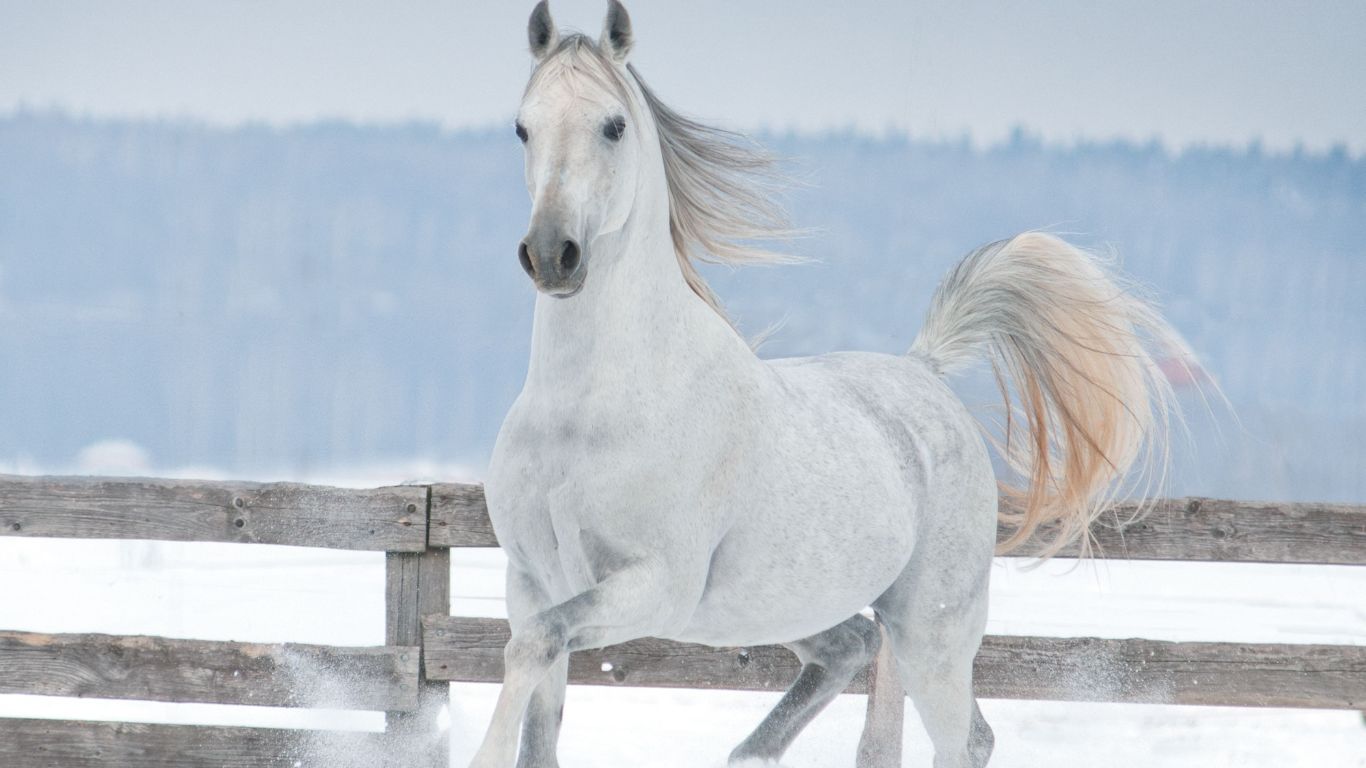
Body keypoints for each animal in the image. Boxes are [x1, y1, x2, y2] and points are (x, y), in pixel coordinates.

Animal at [477, 3, 1183, 766]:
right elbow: (538, 704)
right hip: (787, 606)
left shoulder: (656, 584)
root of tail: (924, 370)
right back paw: (750, 752)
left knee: (964, 735)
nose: (552, 254)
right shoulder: (534, 579)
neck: (589, 413)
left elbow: (536, 642)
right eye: (523, 126)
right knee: (855, 651)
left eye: (614, 125)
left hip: (930, 632)